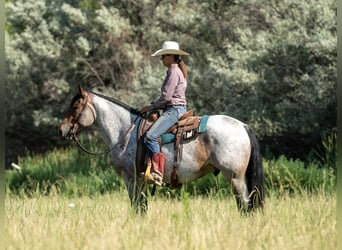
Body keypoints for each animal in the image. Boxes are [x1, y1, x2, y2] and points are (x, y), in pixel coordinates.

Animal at [59, 86, 264, 213]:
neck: (124, 131)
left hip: (235, 178)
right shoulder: (140, 180)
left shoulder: (130, 178)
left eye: (75, 106)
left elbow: (137, 207)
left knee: (245, 205)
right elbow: (142, 207)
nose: (62, 129)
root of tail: (243, 126)